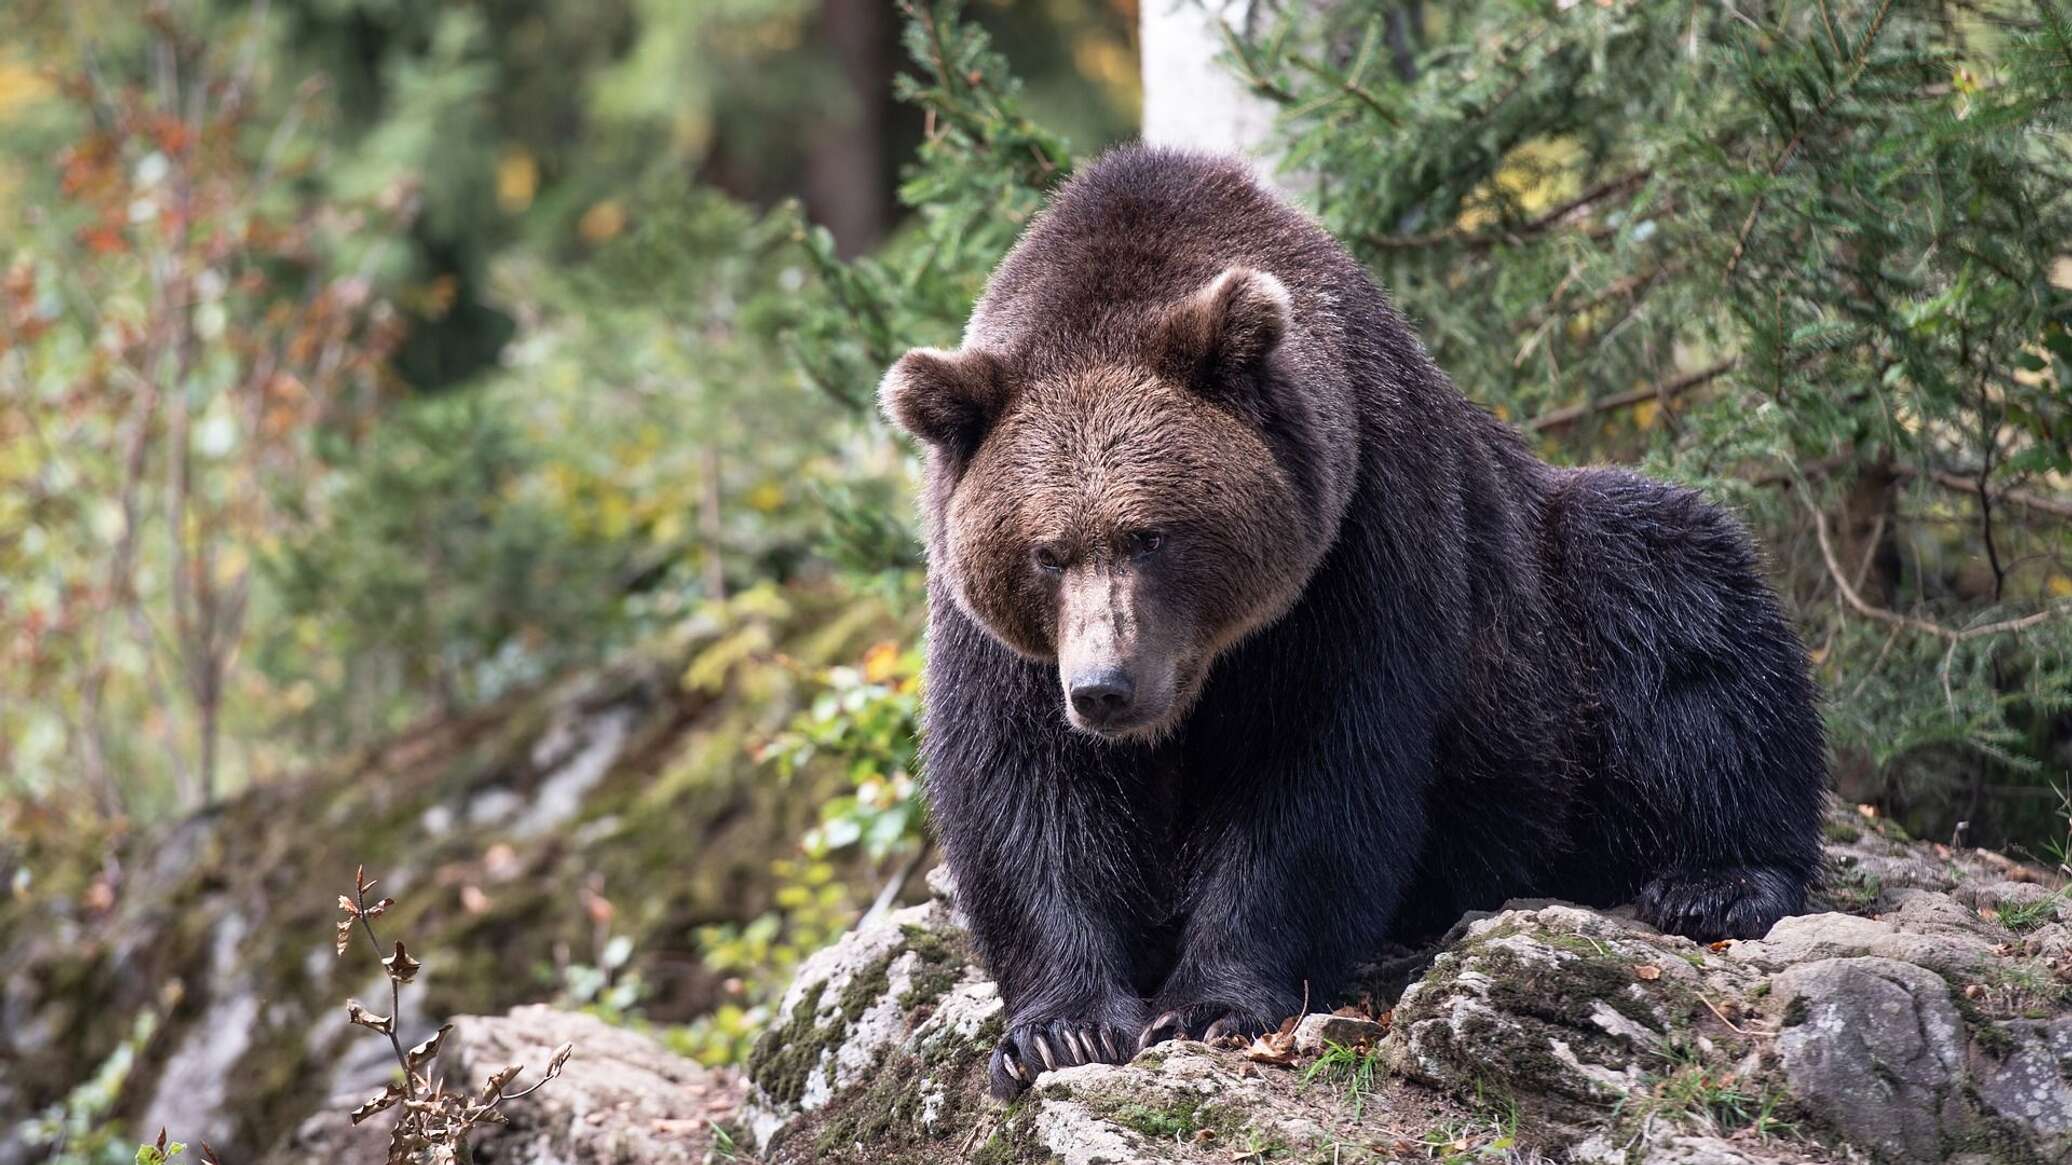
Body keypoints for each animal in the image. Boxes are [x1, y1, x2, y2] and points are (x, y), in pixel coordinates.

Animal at [882, 140, 1823, 1094]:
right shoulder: (997, 634)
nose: (1106, 688)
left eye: (1150, 535)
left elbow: (1313, 775)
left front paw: (1214, 1003)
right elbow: (1025, 789)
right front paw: (1059, 1028)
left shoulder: (1358, 540)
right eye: (1047, 551)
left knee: (1673, 598)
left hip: (1555, 633)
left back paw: (1718, 879)